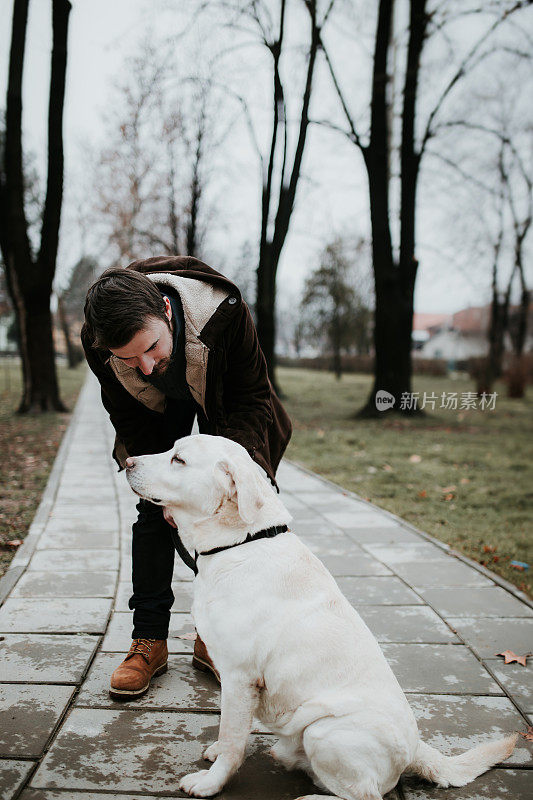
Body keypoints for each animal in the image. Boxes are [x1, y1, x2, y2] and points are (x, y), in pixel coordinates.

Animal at [124, 434, 516, 800]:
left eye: (178, 459)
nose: (126, 461)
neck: (241, 542)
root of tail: (416, 749)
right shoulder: (235, 684)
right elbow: (231, 727)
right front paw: (218, 750)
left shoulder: (239, 675)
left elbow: (234, 739)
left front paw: (211, 782)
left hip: (325, 730)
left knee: (367, 794)